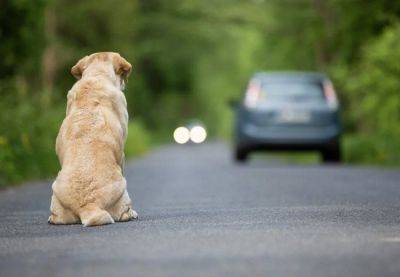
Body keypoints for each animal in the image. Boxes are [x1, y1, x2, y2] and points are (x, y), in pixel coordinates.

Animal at [48, 52, 138, 226]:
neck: (97, 76)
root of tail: (88, 205)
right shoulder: (121, 155)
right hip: (123, 188)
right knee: (124, 212)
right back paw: (131, 214)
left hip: (55, 191)